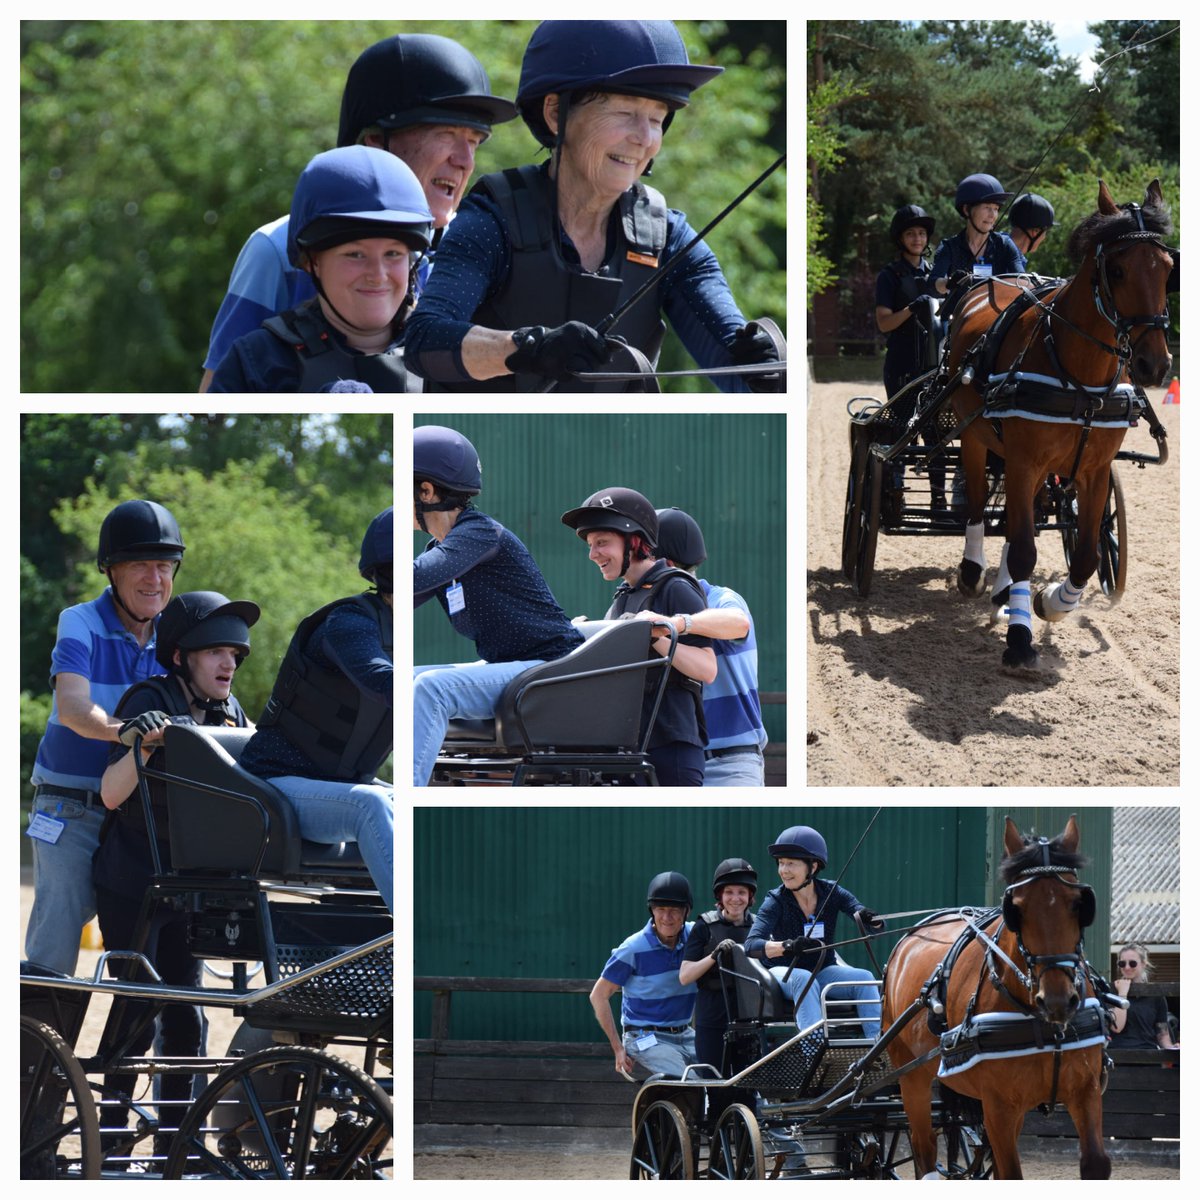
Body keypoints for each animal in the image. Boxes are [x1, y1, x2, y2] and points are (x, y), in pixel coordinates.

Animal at [881, 815, 1109, 1179]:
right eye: (1016, 908)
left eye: (1079, 904)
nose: (1057, 1001)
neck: (1044, 1026)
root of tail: (909, 938)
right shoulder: (998, 1106)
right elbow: (1010, 1173)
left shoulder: (1085, 1091)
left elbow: (1095, 1164)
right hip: (911, 1075)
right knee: (924, 1146)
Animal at [945, 180, 1173, 668]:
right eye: (1117, 270)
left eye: (1167, 269)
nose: (1155, 365)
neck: (1078, 373)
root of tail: (991, 282)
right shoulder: (1024, 460)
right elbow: (1025, 550)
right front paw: (1019, 639)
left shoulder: (1093, 469)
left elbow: (1084, 556)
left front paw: (1048, 602)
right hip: (975, 435)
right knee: (978, 504)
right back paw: (973, 573)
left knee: (1021, 517)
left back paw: (1005, 593)